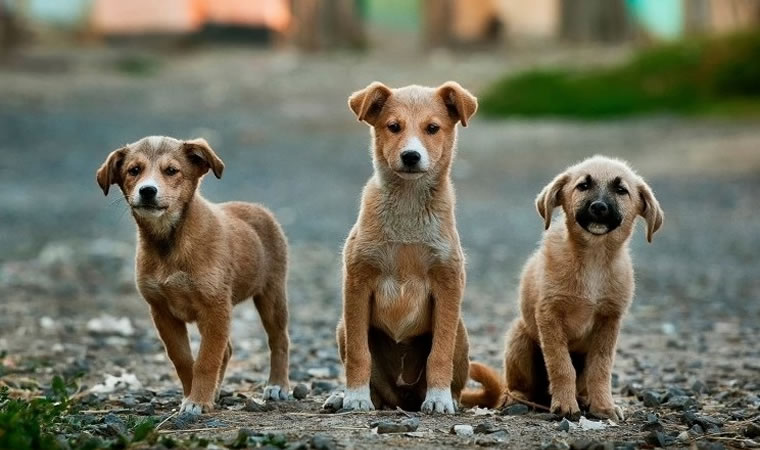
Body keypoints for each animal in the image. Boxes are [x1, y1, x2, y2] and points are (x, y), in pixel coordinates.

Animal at [97, 137, 290, 414]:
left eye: (171, 171)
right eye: (134, 170)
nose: (147, 191)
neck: (169, 242)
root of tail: (259, 209)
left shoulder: (215, 307)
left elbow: (207, 359)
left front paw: (198, 401)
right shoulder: (162, 312)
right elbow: (184, 359)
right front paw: (193, 395)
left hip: (271, 295)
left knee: (279, 340)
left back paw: (277, 385)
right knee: (227, 350)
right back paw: (217, 391)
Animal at [336, 81, 476, 414]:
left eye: (432, 128)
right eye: (393, 127)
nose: (411, 156)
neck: (408, 208)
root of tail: (403, 399)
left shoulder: (448, 283)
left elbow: (439, 353)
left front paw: (438, 399)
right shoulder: (357, 282)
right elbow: (359, 354)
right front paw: (356, 397)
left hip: (461, 332)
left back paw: (448, 397)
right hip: (342, 327)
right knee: (376, 385)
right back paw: (344, 397)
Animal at [460, 156, 664, 420]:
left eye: (621, 190)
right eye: (583, 186)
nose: (599, 207)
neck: (593, 259)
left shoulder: (609, 321)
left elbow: (601, 368)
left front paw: (603, 406)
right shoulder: (550, 315)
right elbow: (561, 365)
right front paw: (566, 405)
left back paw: (584, 399)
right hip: (519, 337)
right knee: (517, 386)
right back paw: (517, 398)